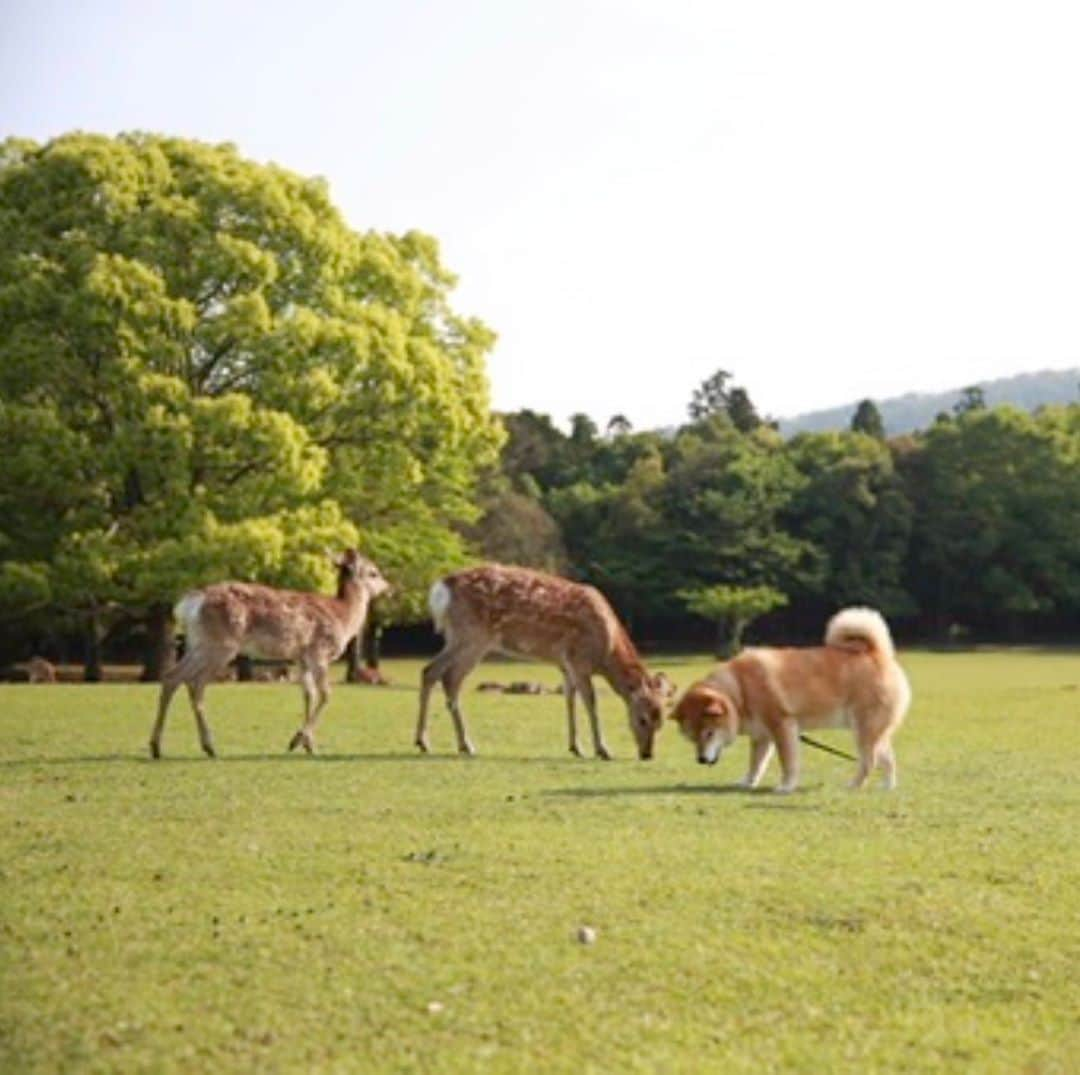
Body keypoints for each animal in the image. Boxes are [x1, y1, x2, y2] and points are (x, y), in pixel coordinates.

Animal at [150, 553, 390, 756]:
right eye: (373, 572)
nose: (388, 588)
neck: (344, 617)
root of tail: (190, 605)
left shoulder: (301, 658)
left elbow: (309, 695)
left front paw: (308, 745)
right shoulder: (319, 651)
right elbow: (326, 694)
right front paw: (297, 741)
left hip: (197, 642)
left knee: (173, 677)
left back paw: (158, 747)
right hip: (220, 644)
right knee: (196, 683)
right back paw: (208, 746)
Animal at [414, 566, 673, 760]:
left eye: (661, 720)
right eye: (642, 719)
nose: (647, 754)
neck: (606, 652)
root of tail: (442, 587)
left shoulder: (565, 665)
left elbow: (570, 699)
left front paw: (576, 747)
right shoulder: (579, 660)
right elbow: (591, 702)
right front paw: (602, 750)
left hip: (458, 636)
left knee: (432, 671)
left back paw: (430, 742)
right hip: (472, 636)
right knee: (447, 676)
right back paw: (459, 744)